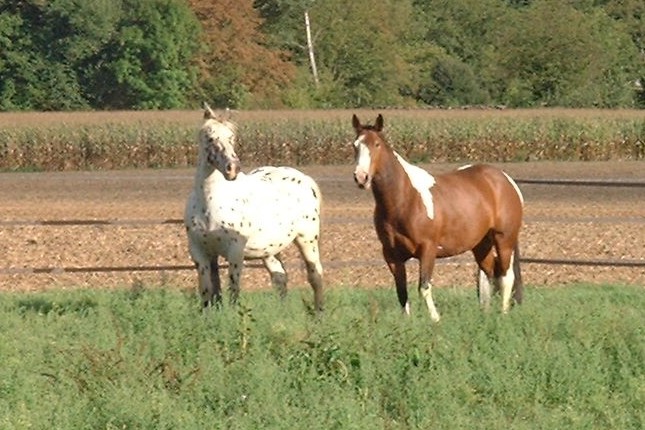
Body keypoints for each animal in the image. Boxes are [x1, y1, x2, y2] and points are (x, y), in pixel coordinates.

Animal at [184, 103, 323, 311]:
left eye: (231, 137)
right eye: (209, 137)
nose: (232, 168)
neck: (209, 205)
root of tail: (306, 179)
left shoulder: (235, 252)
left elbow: (233, 290)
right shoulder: (201, 253)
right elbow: (209, 292)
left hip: (307, 240)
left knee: (316, 276)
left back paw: (319, 313)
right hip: (270, 250)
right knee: (280, 278)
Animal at [351, 114, 524, 321]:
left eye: (376, 144)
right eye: (355, 145)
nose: (361, 177)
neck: (405, 199)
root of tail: (505, 180)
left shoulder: (428, 250)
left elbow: (424, 286)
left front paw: (435, 319)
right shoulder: (391, 255)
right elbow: (402, 291)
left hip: (504, 239)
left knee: (506, 276)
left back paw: (503, 314)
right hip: (481, 244)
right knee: (489, 273)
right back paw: (486, 314)